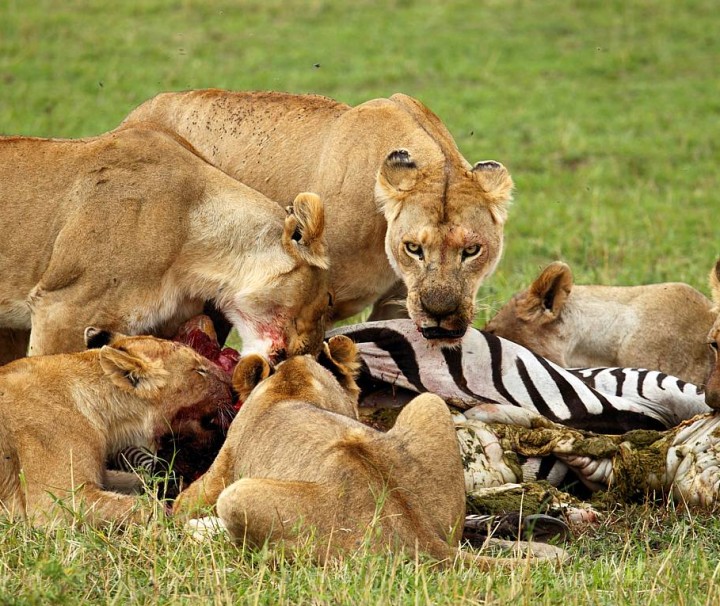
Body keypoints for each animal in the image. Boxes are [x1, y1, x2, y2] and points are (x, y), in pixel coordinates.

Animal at [0, 328, 233, 528]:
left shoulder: (102, 476)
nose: (232, 387)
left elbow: (141, 480)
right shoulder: (55, 502)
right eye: (200, 370)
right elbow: (145, 507)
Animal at [121, 91, 516, 346]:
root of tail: (134, 115)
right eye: (414, 248)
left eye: (472, 250)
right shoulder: (309, 308)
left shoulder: (397, 304)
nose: (439, 312)